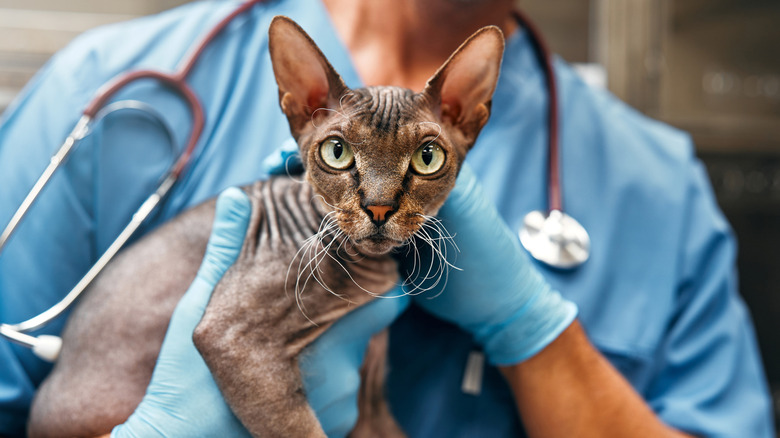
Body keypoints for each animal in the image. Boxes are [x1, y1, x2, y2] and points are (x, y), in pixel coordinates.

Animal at [25, 15, 506, 436]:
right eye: (337, 152)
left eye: (428, 158)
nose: (379, 206)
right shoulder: (231, 337)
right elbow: (299, 428)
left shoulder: (372, 403)